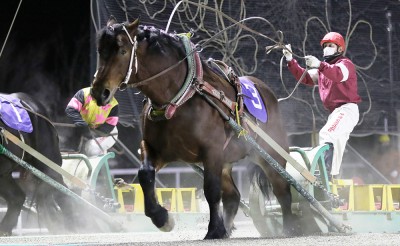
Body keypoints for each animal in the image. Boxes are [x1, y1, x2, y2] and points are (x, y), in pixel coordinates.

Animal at [91, 16, 300, 238]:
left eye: (122, 51)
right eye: (100, 51)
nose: (99, 92)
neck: (180, 98)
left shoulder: (212, 151)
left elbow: (211, 190)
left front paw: (214, 229)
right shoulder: (156, 148)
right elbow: (145, 174)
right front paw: (161, 217)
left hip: (270, 156)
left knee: (282, 191)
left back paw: (289, 228)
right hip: (226, 162)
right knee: (233, 196)